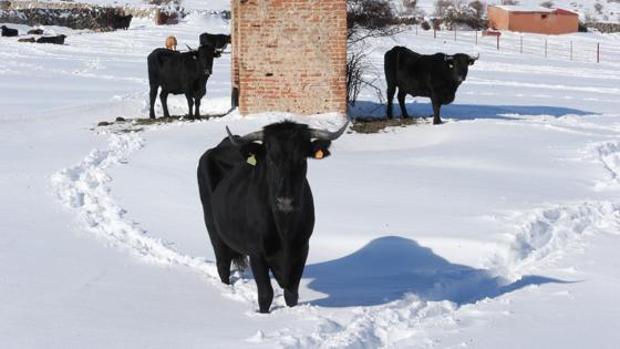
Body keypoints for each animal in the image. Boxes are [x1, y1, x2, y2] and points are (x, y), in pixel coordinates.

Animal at [196, 120, 346, 312]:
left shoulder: (302, 249)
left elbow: (291, 294)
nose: (285, 200)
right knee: (222, 265)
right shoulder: (256, 253)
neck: (284, 230)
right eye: (270, 159)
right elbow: (266, 294)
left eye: (302, 159)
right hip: (213, 230)